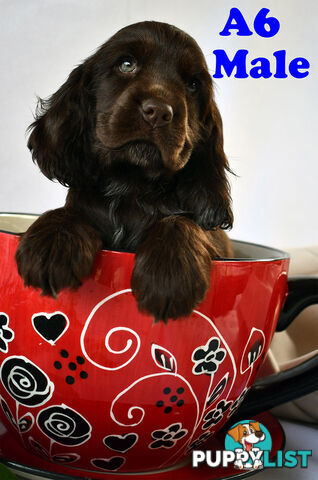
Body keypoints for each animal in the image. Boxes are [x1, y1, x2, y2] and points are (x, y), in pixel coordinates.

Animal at [14, 21, 234, 322]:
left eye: (192, 85)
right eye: (126, 64)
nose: (158, 112)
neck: (131, 184)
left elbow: (182, 221)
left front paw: (168, 275)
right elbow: (69, 211)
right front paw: (51, 243)